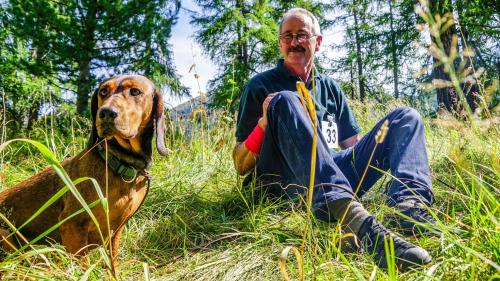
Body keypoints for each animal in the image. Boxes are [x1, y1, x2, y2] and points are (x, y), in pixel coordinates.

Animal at [0, 74, 168, 266]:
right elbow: (81, 265)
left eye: (135, 91)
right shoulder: (73, 225)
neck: (119, 163)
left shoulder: (116, 230)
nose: (106, 113)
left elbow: (113, 261)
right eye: (103, 91)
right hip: (5, 235)